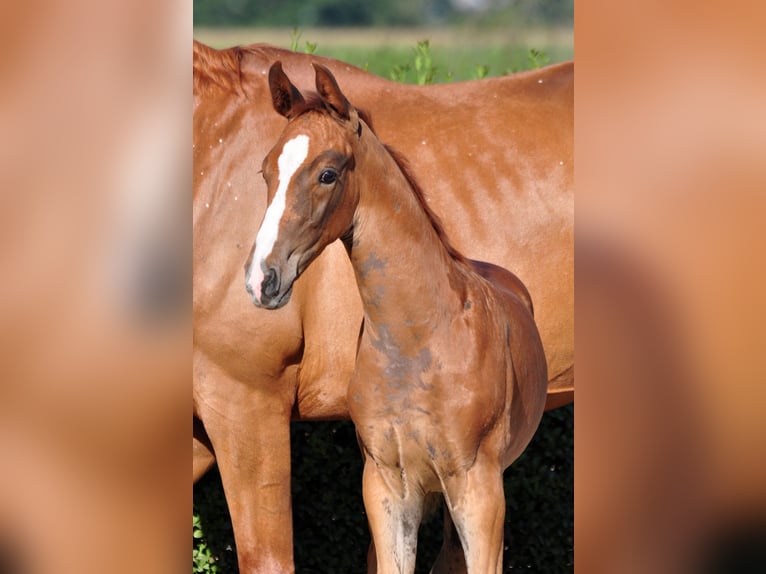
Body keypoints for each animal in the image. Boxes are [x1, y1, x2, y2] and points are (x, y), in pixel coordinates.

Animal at [193, 40, 573, 572]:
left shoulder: (247, 403)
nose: (261, 279)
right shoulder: (387, 487)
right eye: (265, 171)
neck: (418, 337)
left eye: (328, 173)